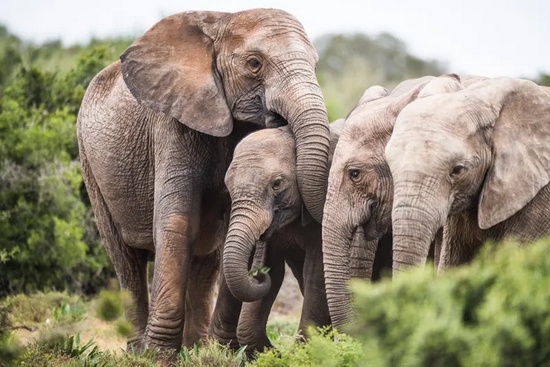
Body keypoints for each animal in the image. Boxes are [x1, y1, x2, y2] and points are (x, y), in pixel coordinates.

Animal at [75, 7, 330, 354]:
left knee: (204, 262)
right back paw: (138, 350)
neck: (223, 21)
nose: (261, 275)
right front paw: (159, 356)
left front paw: (225, 352)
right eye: (254, 63)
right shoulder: (172, 123)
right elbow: (177, 223)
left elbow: (231, 230)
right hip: (90, 164)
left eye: (315, 65)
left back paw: (195, 348)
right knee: (126, 260)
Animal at [220, 122, 392, 352]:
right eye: (228, 186)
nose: (256, 274)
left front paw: (302, 351)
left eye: (277, 183)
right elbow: (275, 272)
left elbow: (317, 274)